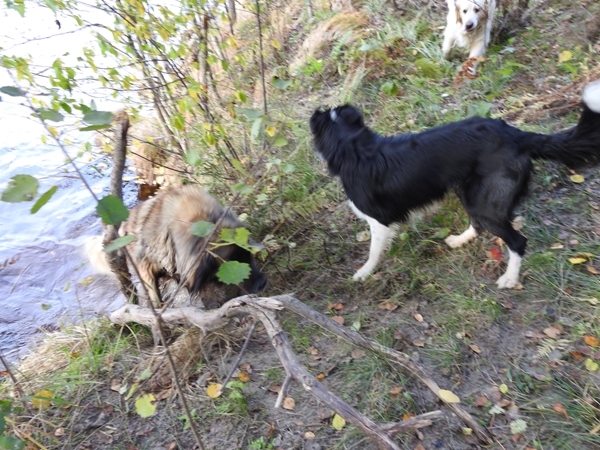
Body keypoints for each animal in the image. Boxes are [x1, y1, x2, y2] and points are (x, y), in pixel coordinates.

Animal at [310, 81, 600, 288]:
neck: (353, 146)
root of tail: (513, 133)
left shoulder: (379, 220)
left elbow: (373, 251)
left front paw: (364, 273)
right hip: (471, 192)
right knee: (479, 223)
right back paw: (459, 240)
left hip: (485, 200)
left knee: (517, 241)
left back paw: (509, 279)